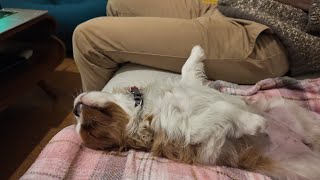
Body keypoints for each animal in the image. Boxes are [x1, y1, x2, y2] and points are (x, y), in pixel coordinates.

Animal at [73, 45, 320, 179]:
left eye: (90, 125)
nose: (75, 110)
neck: (143, 108)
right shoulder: (191, 133)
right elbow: (222, 111)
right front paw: (253, 121)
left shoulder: (190, 84)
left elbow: (188, 69)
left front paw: (197, 51)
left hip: (285, 108)